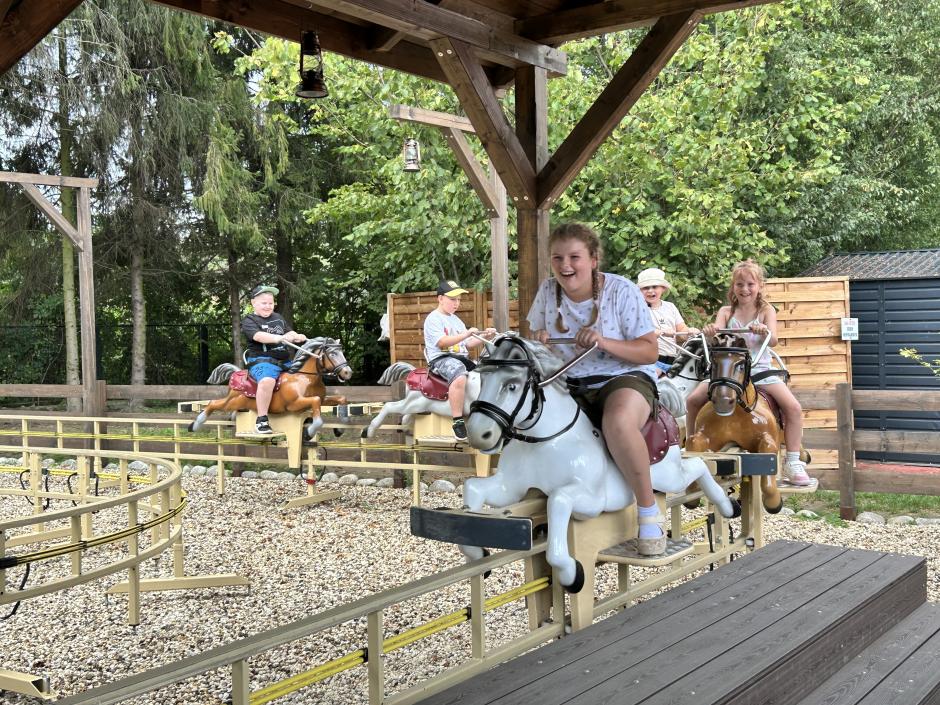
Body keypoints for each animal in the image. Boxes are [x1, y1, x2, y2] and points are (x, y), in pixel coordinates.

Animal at [188, 337, 352, 438]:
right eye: (332, 353)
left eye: (341, 352)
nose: (347, 372)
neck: (304, 378)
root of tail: (237, 373)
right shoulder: (294, 404)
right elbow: (315, 401)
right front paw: (309, 431)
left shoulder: (323, 399)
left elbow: (340, 398)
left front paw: (340, 427)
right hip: (234, 401)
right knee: (213, 403)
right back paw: (195, 425)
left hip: (238, 402)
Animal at [462, 335, 739, 592]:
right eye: (481, 380)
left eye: (512, 385)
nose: (478, 433)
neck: (546, 440)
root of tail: (663, 408)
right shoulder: (511, 488)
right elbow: (473, 487)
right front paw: (478, 553)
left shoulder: (592, 500)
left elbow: (558, 499)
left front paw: (570, 573)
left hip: (668, 474)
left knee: (698, 466)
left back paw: (728, 506)